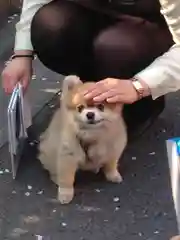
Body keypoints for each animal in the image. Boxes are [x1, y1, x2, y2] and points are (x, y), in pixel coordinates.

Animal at [38, 75, 127, 204]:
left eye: (101, 106)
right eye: (80, 108)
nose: (90, 114)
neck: (91, 134)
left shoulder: (113, 147)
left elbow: (111, 164)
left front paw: (113, 175)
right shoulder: (68, 155)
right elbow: (66, 178)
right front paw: (65, 193)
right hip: (50, 150)